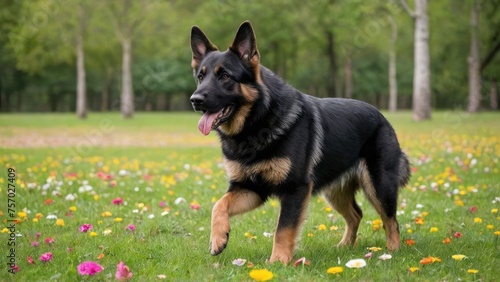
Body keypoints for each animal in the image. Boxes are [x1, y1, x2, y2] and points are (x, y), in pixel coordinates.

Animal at [189, 20, 408, 264]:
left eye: (225, 76)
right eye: (201, 77)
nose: (195, 100)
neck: (257, 123)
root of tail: (381, 117)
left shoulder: (295, 189)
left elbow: (283, 229)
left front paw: (278, 262)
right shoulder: (250, 189)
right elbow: (219, 205)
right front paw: (218, 237)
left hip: (379, 187)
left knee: (391, 220)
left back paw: (392, 251)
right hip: (335, 192)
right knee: (356, 214)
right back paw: (345, 246)